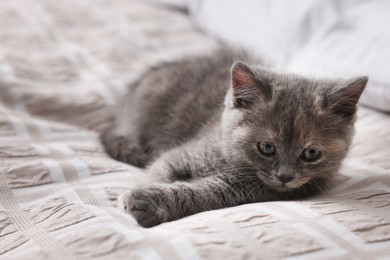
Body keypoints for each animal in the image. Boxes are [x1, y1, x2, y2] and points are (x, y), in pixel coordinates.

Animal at [100, 48, 366, 228]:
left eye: (311, 153)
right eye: (266, 147)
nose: (285, 177)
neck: (227, 160)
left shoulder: (251, 190)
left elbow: (202, 192)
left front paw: (150, 201)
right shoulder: (180, 155)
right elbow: (160, 172)